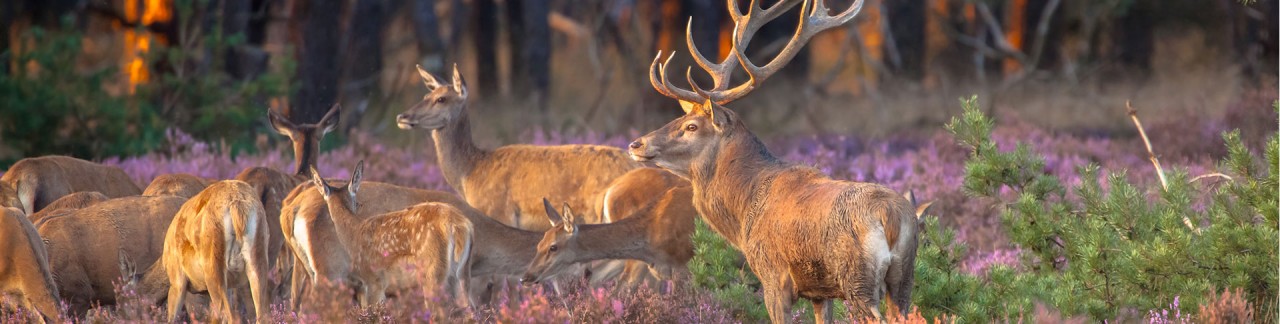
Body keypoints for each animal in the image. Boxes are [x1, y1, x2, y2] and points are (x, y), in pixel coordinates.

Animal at [309, 162, 476, 308]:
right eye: (356, 202)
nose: (360, 205)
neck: (354, 235)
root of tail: (458, 225)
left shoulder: (373, 280)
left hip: (432, 271)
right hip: (463, 272)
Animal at [629, 0, 921, 321]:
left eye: (692, 126)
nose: (636, 143)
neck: (743, 209)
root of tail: (891, 216)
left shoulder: (773, 275)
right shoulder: (820, 291)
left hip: (858, 279)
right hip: (905, 275)